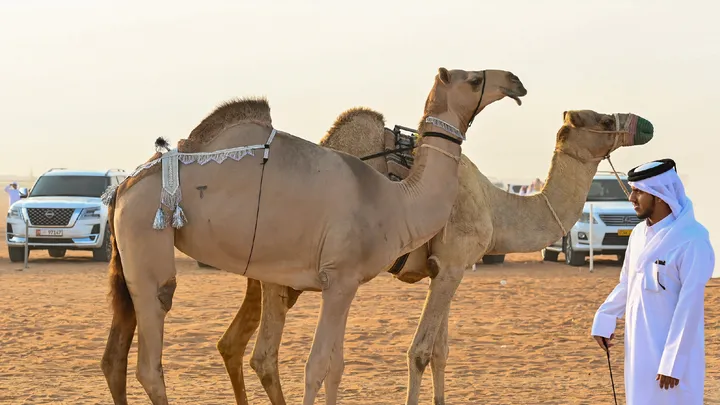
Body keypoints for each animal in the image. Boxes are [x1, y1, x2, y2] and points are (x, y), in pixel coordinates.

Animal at [99, 67, 528, 405]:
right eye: (473, 80)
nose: (515, 81)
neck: (396, 201)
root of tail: (124, 186)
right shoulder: (339, 278)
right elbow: (317, 365)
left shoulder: (345, 283)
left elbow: (335, 365)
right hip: (147, 238)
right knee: (151, 354)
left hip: (129, 259)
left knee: (114, 358)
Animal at [215, 109, 655, 405]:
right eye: (602, 120)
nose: (644, 125)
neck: (496, 205)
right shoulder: (455, 262)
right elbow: (420, 352)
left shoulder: (445, 269)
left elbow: (441, 352)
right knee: (265, 355)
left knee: (244, 348)